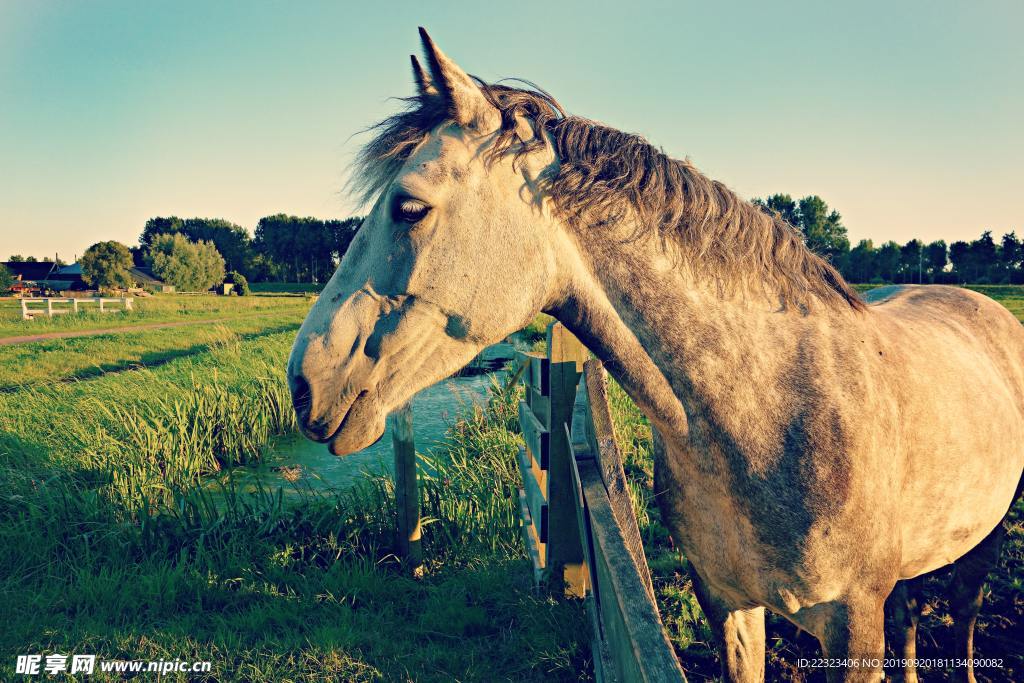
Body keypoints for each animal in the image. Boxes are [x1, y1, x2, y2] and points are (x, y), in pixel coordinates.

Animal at [288, 29, 1024, 679]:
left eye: (410, 207)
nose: (303, 382)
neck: (771, 411)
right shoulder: (727, 602)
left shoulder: (851, 624)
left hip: (982, 541)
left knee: (963, 614)